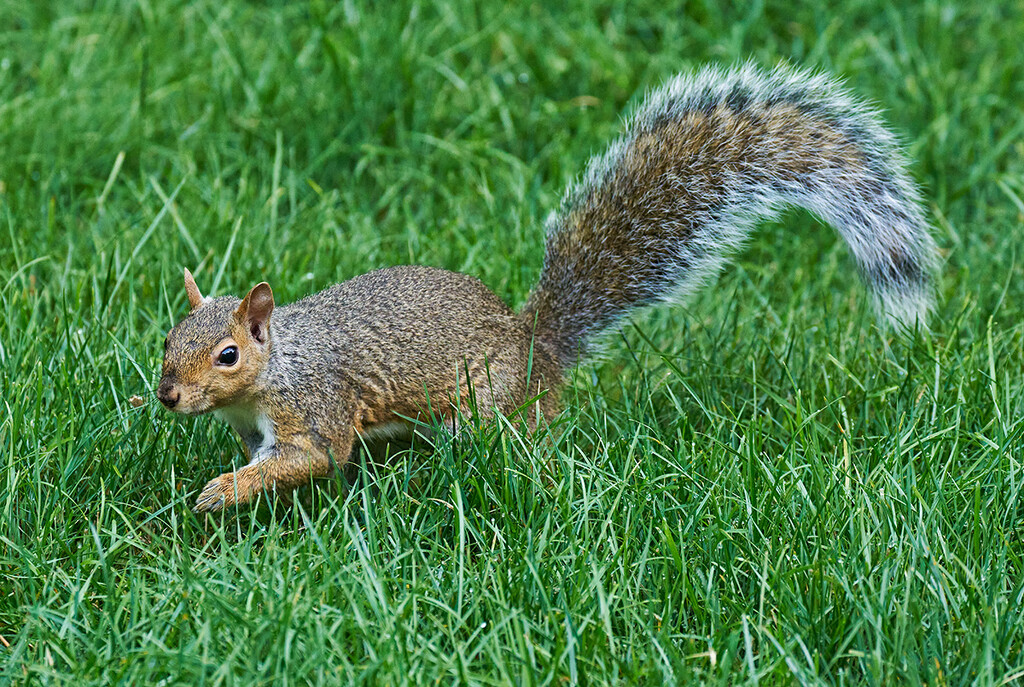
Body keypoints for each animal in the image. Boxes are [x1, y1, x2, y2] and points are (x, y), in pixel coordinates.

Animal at [157, 64, 937, 513]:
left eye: (228, 354)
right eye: (168, 339)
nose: (166, 396)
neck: (277, 368)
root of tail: (537, 345)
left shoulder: (316, 409)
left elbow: (317, 458)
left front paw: (220, 493)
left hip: (486, 409)